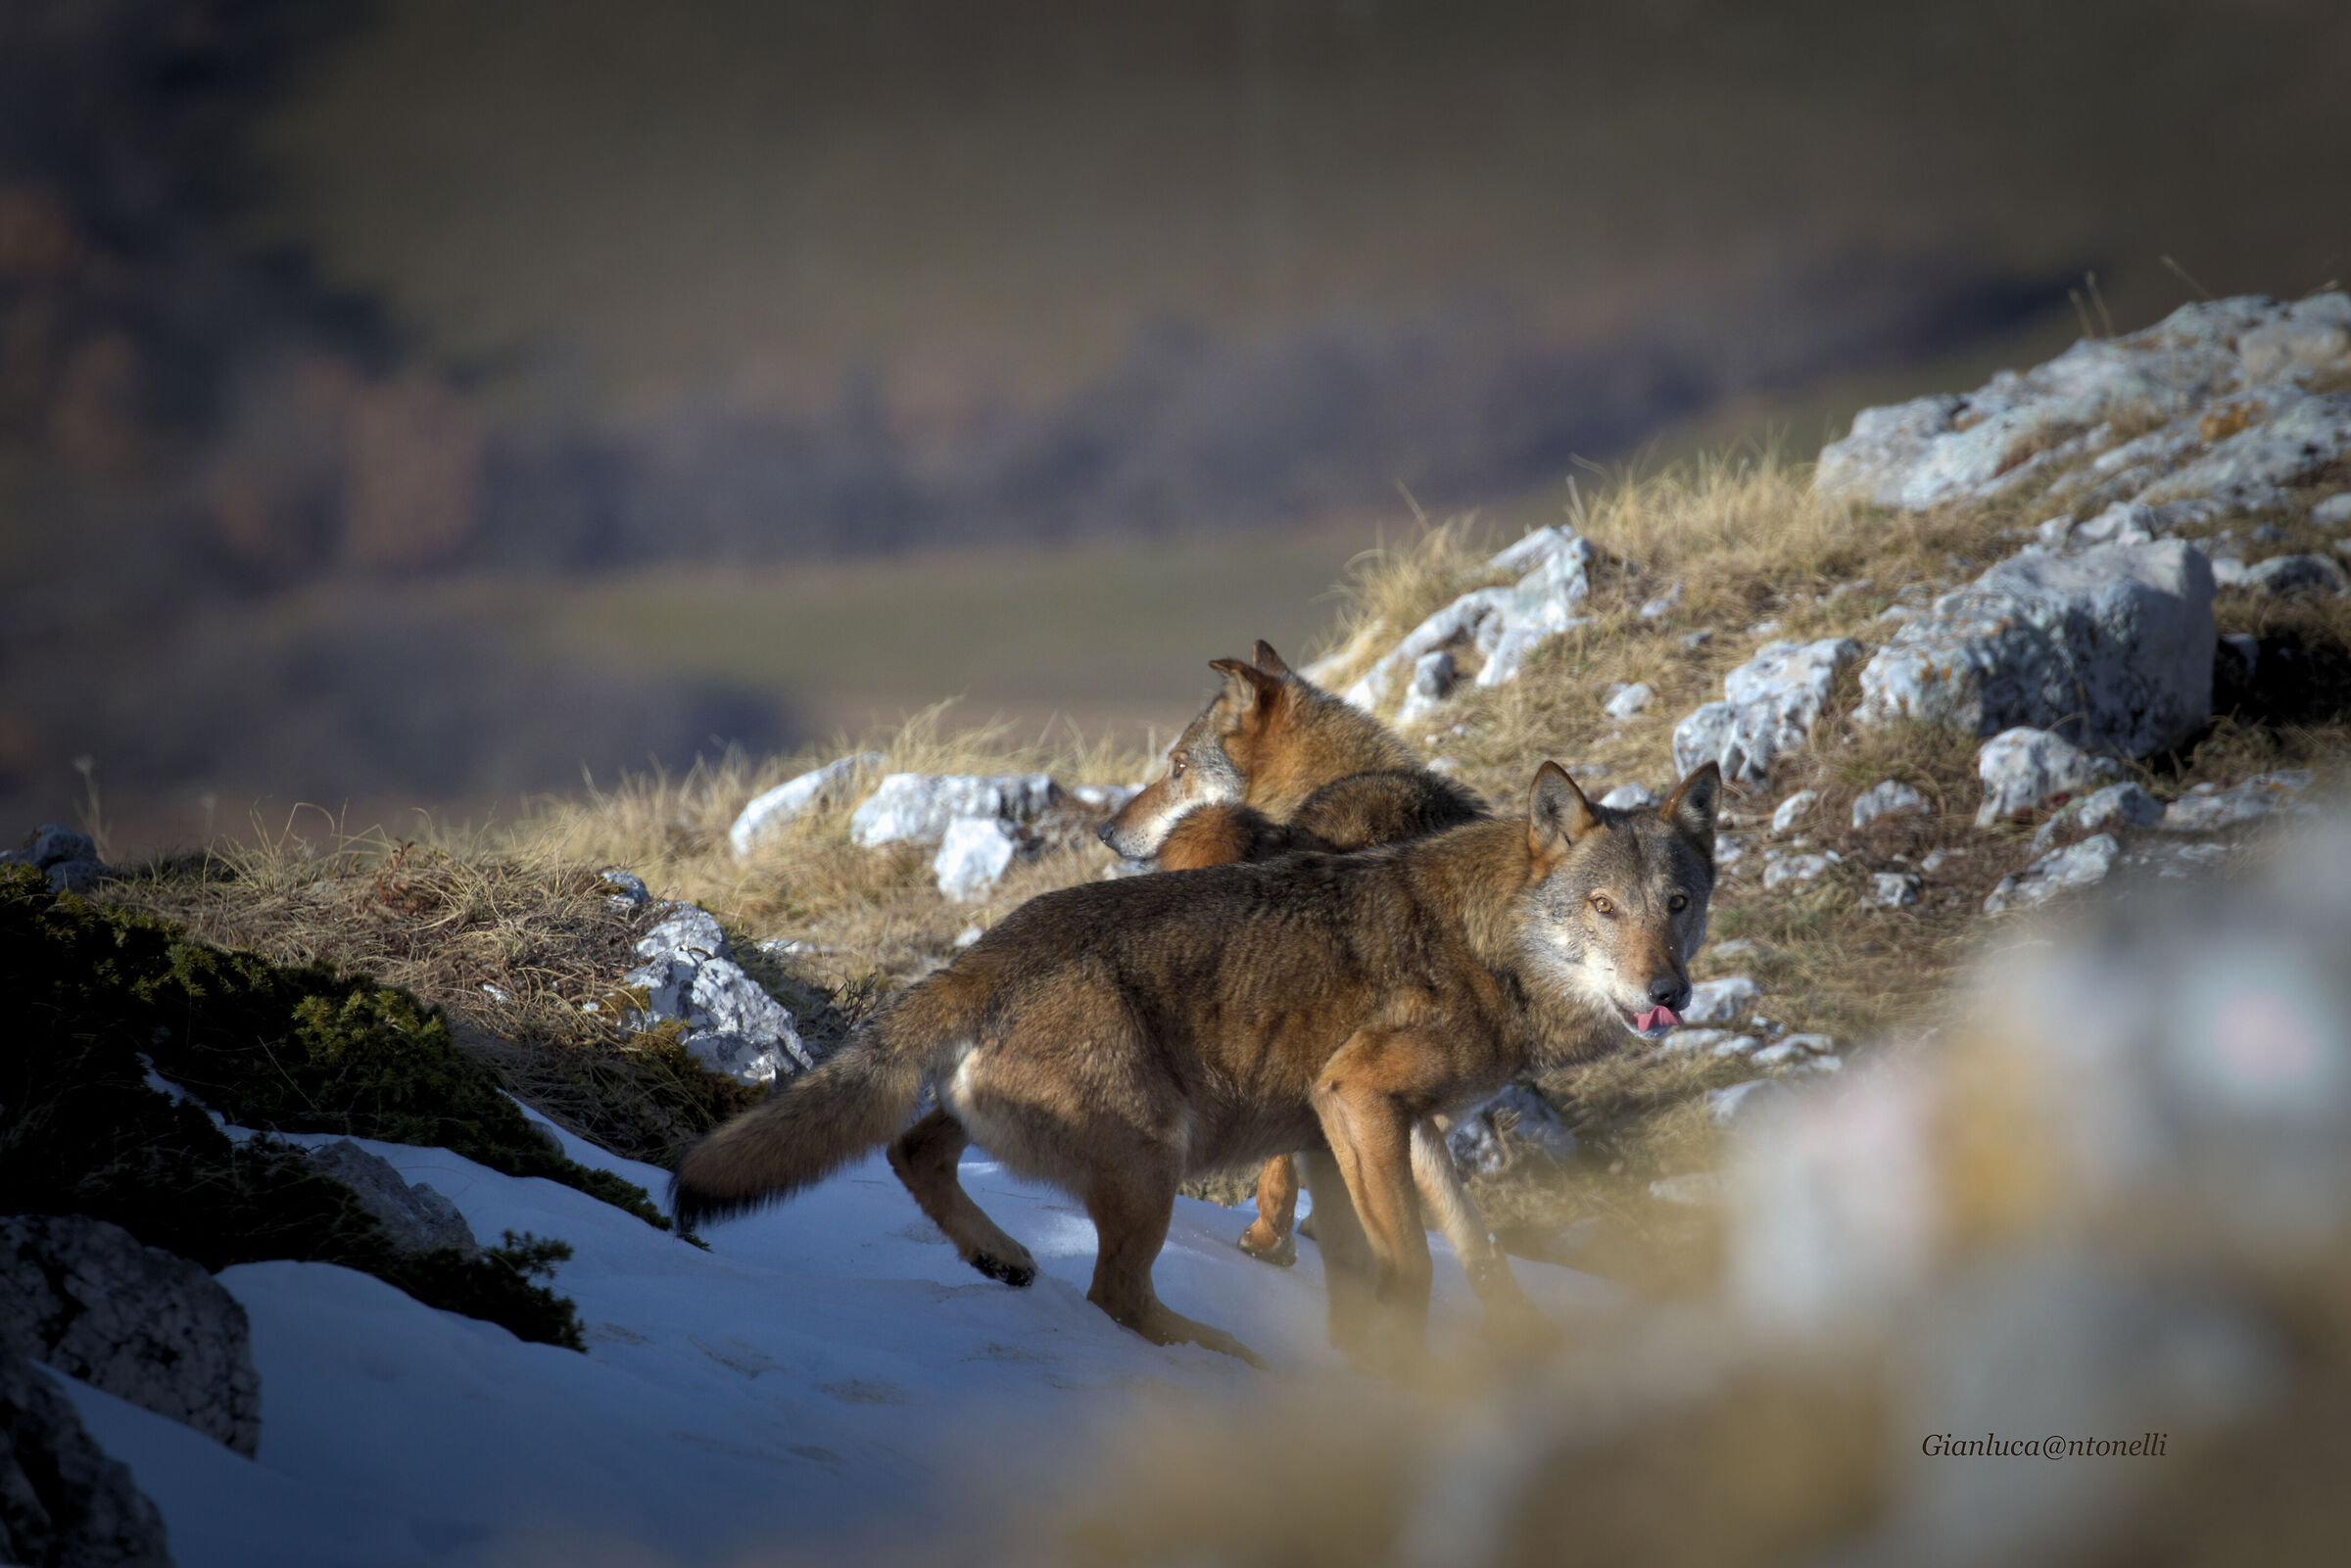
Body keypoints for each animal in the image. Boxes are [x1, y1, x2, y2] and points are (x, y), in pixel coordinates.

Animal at [673, 760, 1720, 1368]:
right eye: (1603, 909)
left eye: (1676, 903)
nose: (1668, 992)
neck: (1490, 942)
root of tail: (983, 951)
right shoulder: (1357, 1097)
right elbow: (1415, 1268)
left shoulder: (1384, 1130)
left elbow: (1469, 1250)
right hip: (1155, 1157)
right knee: (1114, 1294)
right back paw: (1215, 1349)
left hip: (1023, 1131)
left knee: (913, 1150)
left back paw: (1001, 1254)